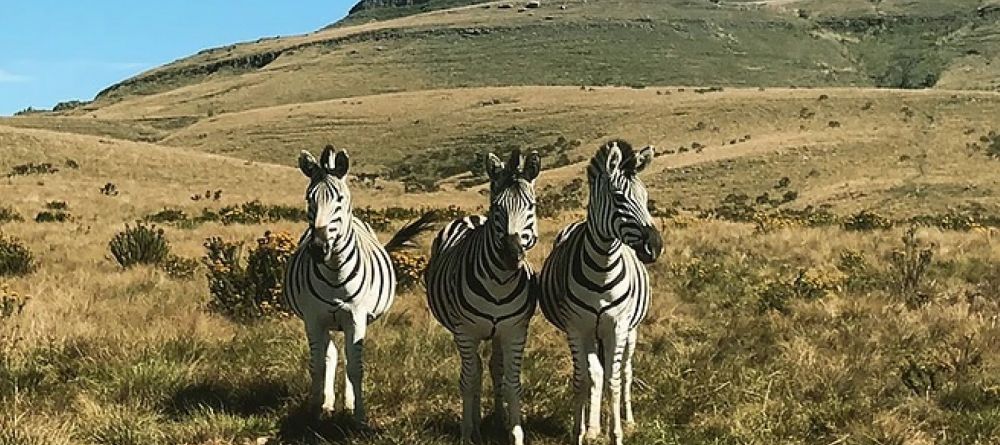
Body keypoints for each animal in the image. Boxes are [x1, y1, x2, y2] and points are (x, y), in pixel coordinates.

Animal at [284, 145, 436, 424]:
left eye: (340, 199)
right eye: (309, 199)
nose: (318, 249)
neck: (334, 272)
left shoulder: (355, 317)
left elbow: (356, 368)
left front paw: (359, 417)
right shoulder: (314, 319)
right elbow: (318, 366)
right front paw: (314, 411)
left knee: (346, 356)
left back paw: (348, 404)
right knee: (331, 355)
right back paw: (328, 404)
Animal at [426, 148, 544, 444]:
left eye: (531, 207)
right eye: (496, 209)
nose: (511, 256)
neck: (500, 283)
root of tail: (470, 217)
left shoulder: (515, 331)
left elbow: (512, 383)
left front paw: (515, 432)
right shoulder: (465, 332)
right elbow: (469, 381)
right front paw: (467, 433)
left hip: (497, 333)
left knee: (493, 367)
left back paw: (499, 420)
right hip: (464, 333)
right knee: (475, 371)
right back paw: (476, 425)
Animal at [540, 139, 664, 444]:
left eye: (645, 198)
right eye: (619, 198)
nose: (655, 247)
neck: (601, 268)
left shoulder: (617, 326)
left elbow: (613, 380)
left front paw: (616, 433)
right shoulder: (576, 328)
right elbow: (583, 379)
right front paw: (581, 431)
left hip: (631, 330)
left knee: (625, 370)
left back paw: (628, 420)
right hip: (589, 333)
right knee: (594, 372)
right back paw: (592, 425)